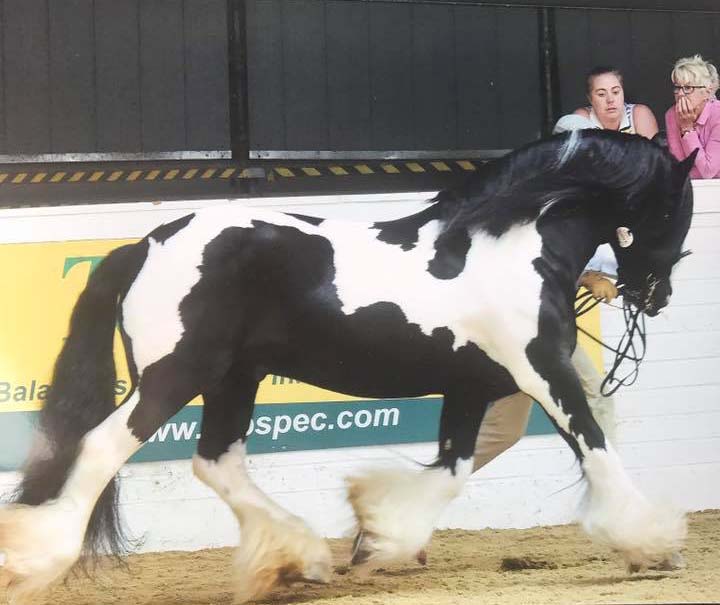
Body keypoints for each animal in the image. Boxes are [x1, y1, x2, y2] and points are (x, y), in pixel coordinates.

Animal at [0, 130, 696, 600]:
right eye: (675, 208)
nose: (656, 296)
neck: (510, 248)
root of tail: (145, 244)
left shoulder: (469, 386)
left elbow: (450, 471)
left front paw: (377, 535)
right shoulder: (542, 370)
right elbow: (596, 446)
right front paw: (654, 546)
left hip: (233, 378)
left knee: (217, 461)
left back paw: (296, 560)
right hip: (174, 376)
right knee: (99, 448)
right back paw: (34, 561)